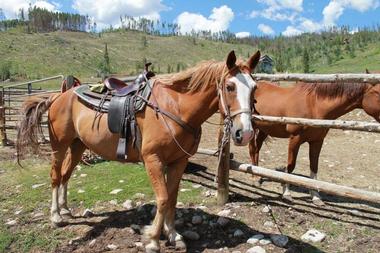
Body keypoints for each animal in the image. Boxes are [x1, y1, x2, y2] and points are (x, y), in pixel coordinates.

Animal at [17, 50, 262, 252]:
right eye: (229, 87)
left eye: (254, 88)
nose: (245, 133)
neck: (176, 107)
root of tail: (58, 96)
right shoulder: (153, 159)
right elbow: (162, 198)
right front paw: (153, 239)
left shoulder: (179, 161)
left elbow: (172, 198)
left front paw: (173, 235)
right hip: (59, 147)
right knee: (55, 176)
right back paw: (56, 216)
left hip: (78, 146)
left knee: (66, 175)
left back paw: (65, 209)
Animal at [249, 81, 380, 206]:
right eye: (378, 93)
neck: (314, 106)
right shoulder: (295, 139)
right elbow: (291, 166)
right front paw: (286, 194)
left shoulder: (317, 141)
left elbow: (314, 167)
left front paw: (316, 197)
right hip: (253, 127)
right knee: (252, 149)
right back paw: (255, 177)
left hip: (264, 129)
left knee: (257, 149)